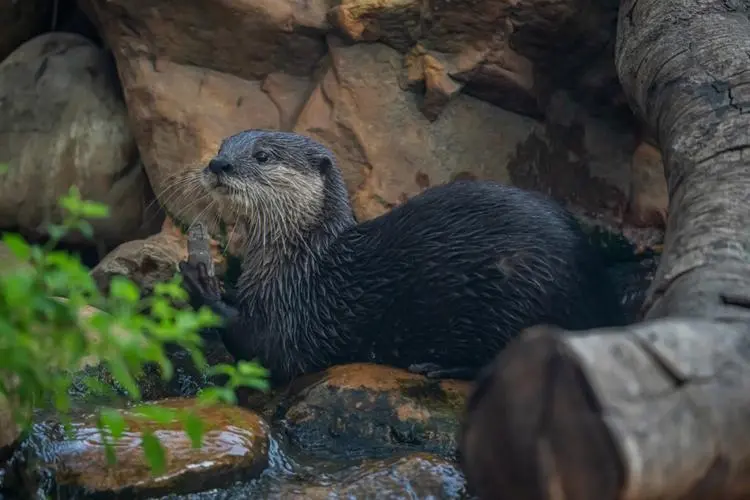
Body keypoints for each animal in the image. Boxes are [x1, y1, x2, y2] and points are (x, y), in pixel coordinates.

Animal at [178, 129, 628, 382]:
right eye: (222, 145)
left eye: (263, 156)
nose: (218, 163)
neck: (303, 263)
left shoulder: (299, 315)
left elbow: (261, 349)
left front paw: (201, 283)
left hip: (522, 289)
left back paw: (440, 367)